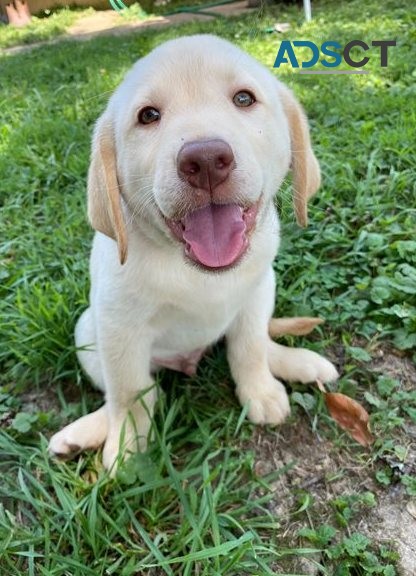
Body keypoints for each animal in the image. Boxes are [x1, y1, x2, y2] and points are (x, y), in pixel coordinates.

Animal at [49, 33, 338, 470]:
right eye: (148, 116)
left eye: (244, 99)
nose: (204, 160)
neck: (195, 270)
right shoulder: (118, 327)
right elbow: (129, 393)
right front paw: (128, 445)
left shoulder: (257, 292)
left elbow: (249, 348)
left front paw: (260, 391)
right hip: (87, 331)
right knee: (137, 390)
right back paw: (84, 432)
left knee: (255, 341)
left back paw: (297, 362)